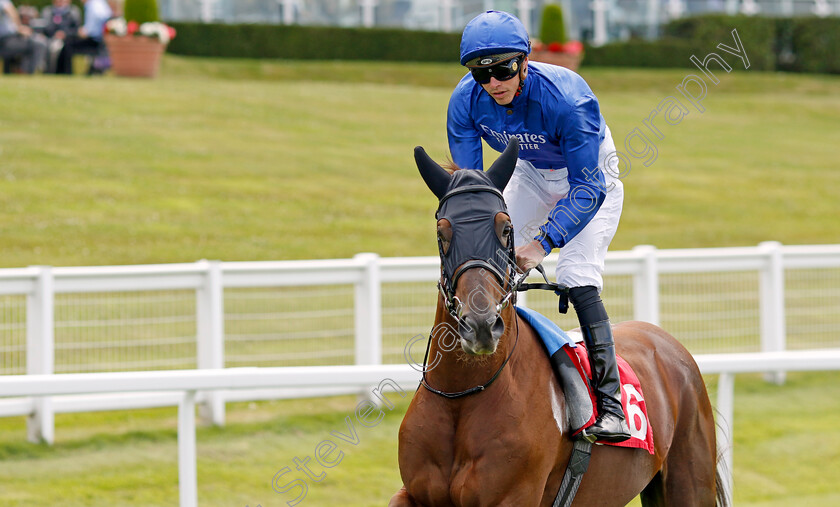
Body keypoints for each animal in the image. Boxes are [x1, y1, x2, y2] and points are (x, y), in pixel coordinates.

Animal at [390, 140, 724, 507]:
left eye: (505, 229)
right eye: (442, 232)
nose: (480, 326)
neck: (462, 395)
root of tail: (665, 341)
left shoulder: (513, 497)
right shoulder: (413, 493)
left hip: (688, 482)